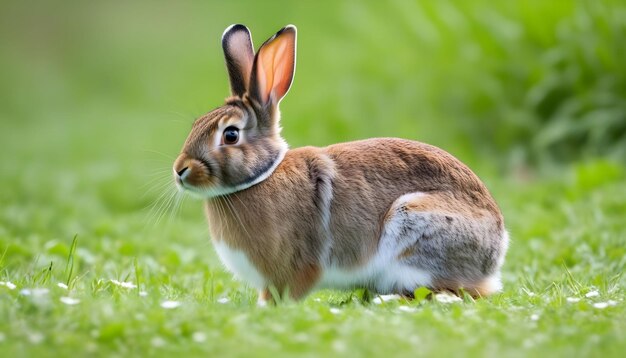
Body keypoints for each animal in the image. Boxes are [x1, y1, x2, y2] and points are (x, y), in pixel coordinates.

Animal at [172, 23, 508, 300]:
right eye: (196, 124)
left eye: (230, 135)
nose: (180, 171)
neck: (262, 176)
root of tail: (497, 249)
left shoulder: (292, 269)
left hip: (414, 227)